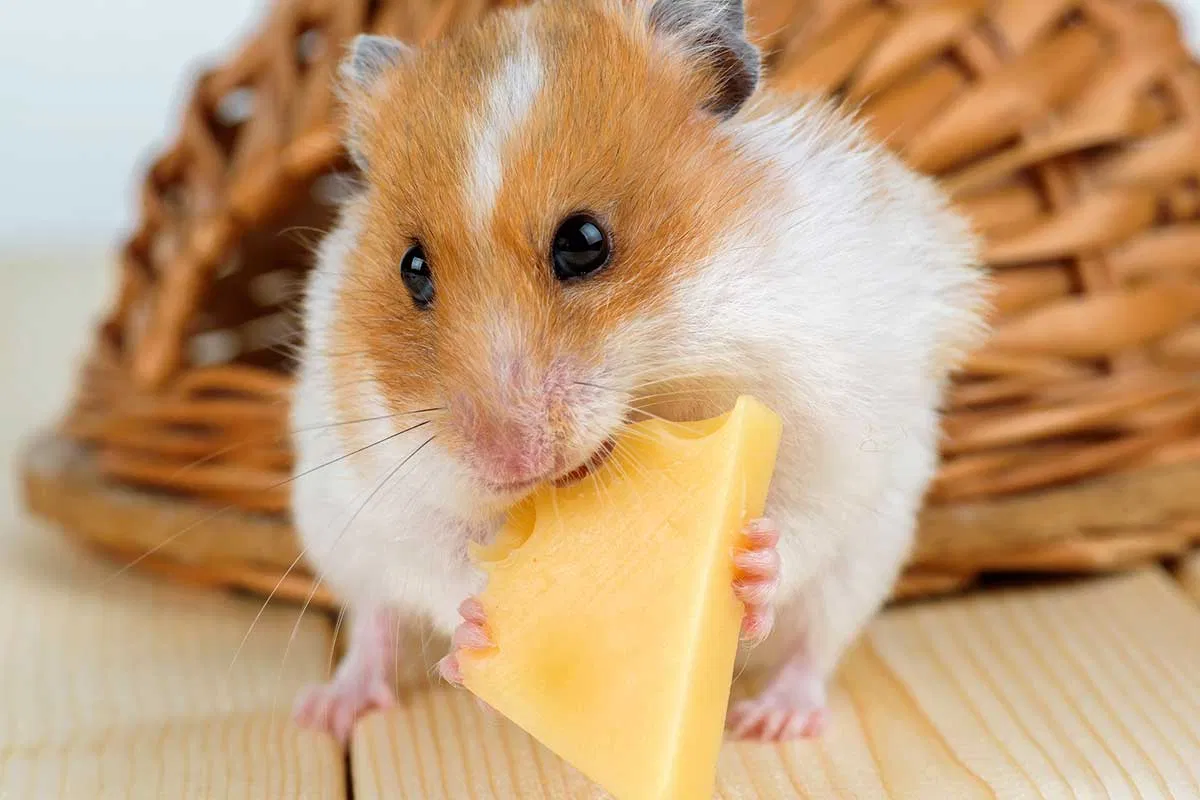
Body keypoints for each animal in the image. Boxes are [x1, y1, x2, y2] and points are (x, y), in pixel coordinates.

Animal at [290, 0, 988, 744]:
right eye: (411, 268)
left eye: (584, 242)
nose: (508, 461)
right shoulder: (380, 477)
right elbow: (436, 554)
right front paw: (478, 621)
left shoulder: (836, 429)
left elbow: (802, 518)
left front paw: (751, 566)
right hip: (338, 538)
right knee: (373, 625)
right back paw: (328, 710)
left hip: (868, 561)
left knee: (813, 645)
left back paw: (773, 721)